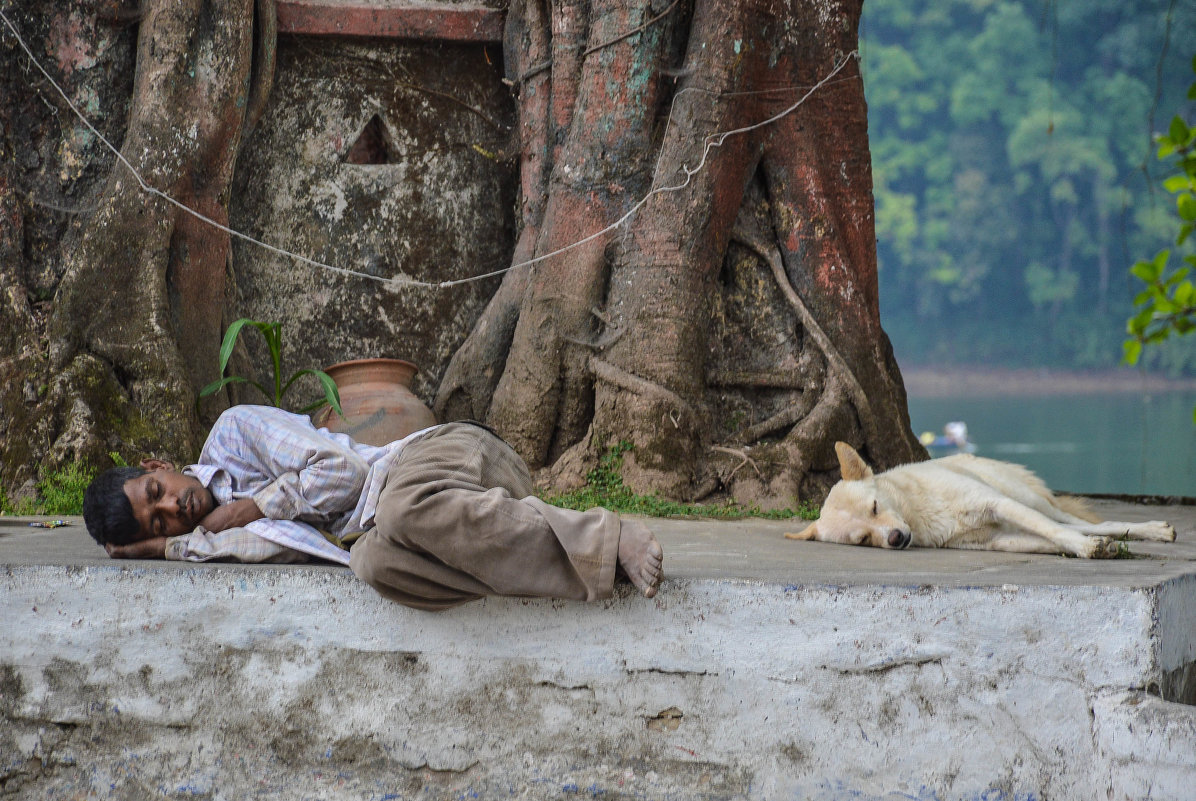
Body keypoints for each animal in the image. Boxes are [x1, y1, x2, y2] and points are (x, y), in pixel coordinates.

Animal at [784, 444, 1176, 559]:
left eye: (875, 508)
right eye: (863, 539)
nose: (896, 539)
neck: (920, 513)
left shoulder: (998, 505)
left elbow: (1056, 533)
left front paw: (1087, 548)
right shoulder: (998, 540)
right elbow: (1048, 542)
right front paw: (1092, 549)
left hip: (1027, 498)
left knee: (1076, 521)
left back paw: (1154, 531)